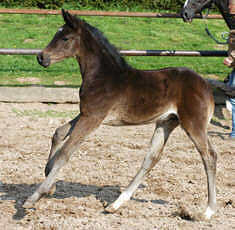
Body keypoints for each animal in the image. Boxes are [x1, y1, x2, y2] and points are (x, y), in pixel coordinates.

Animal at [23, 9, 217, 220]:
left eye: (65, 38)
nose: (41, 57)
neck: (102, 75)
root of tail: (206, 86)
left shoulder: (93, 117)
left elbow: (66, 152)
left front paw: (35, 197)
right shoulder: (87, 113)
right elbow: (59, 132)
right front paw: (49, 181)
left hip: (193, 124)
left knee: (209, 156)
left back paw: (208, 211)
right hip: (166, 122)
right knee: (151, 158)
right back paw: (116, 204)